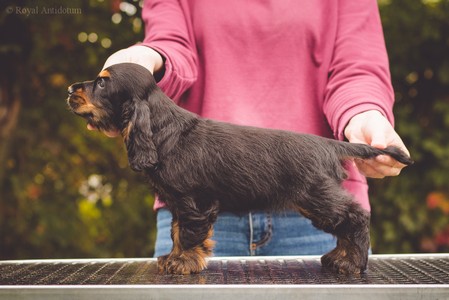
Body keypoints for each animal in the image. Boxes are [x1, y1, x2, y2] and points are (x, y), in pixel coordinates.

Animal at [67, 62, 412, 274]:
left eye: (101, 83)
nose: (70, 89)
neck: (162, 128)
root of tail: (328, 144)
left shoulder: (195, 202)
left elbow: (189, 234)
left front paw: (183, 263)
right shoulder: (179, 203)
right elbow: (177, 232)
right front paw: (172, 258)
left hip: (316, 197)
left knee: (356, 217)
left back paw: (352, 262)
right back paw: (339, 257)